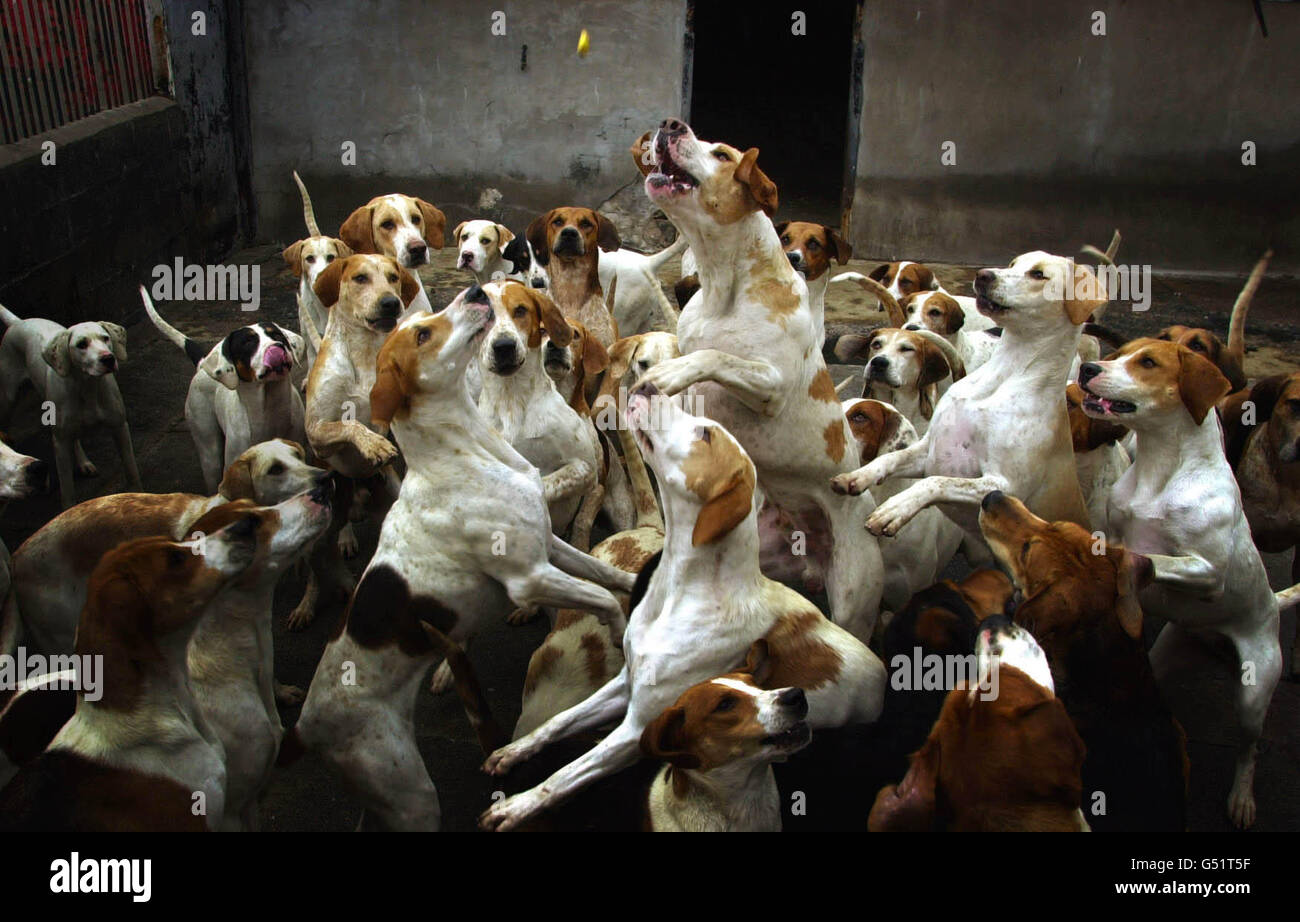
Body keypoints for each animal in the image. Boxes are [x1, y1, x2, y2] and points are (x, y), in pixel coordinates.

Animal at [0, 305, 139, 507]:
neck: (87, 387)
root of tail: (19, 322)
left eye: (105, 338)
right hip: (8, 399)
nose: (108, 359)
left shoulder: (120, 428)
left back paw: (83, 463)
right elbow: (67, 490)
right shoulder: (60, 444)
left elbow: (131, 471)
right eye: (81, 344)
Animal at [478, 392, 883, 832]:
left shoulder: (639, 728)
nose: (647, 388)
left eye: (704, 432)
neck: (680, 590)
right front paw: (514, 750)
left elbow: (566, 774)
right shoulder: (627, 683)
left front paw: (517, 805)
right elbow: (557, 722)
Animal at [1076, 338, 1289, 827]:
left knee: (1249, 748)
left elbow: (1151, 557)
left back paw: (1242, 797)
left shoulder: (1208, 572)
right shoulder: (1112, 526)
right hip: (1168, 651)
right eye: (1120, 352)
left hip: (1254, 694)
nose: (1088, 369)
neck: (1160, 470)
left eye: (1148, 362)